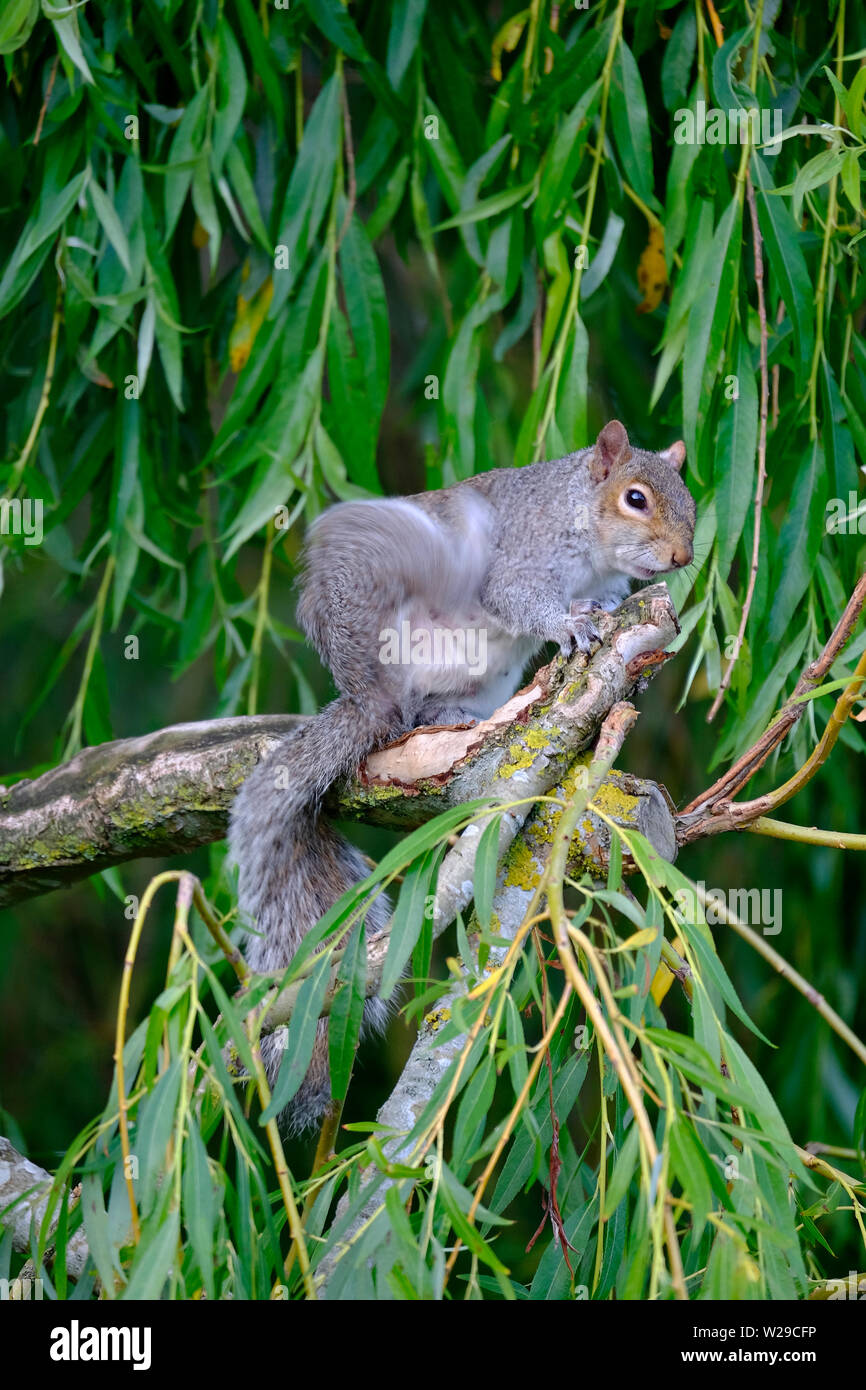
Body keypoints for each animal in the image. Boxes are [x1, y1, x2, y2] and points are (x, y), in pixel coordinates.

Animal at [226, 417, 695, 1134]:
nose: (681, 556)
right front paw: (570, 623)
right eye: (636, 498)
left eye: (687, 493)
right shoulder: (518, 557)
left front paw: (609, 629)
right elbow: (520, 597)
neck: (580, 526)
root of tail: (365, 693)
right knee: (405, 712)